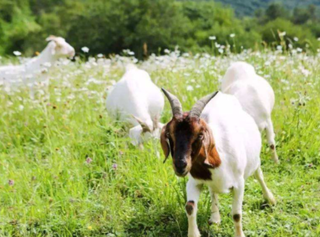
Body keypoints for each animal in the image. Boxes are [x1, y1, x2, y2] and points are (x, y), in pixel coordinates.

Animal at [161, 89, 276, 237]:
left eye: (200, 135)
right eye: (169, 134)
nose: (180, 165)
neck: (220, 160)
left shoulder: (239, 184)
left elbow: (236, 214)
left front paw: (240, 235)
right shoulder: (195, 181)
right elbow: (190, 207)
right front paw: (194, 233)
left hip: (254, 161)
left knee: (259, 175)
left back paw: (270, 199)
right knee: (213, 192)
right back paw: (215, 218)